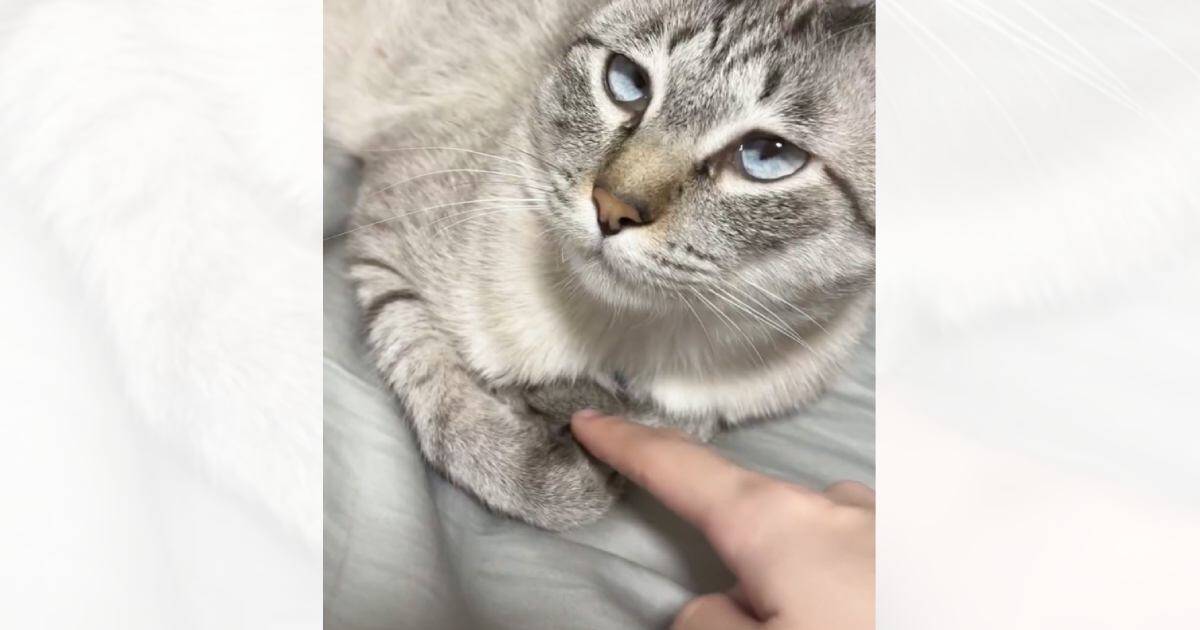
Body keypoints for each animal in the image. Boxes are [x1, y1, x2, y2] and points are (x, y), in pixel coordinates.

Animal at [325, 0, 876, 530]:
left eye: (766, 156)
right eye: (628, 83)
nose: (611, 209)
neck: (616, 336)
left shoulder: (731, 397)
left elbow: (675, 424)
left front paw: (575, 407)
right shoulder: (384, 242)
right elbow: (450, 405)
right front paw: (556, 465)